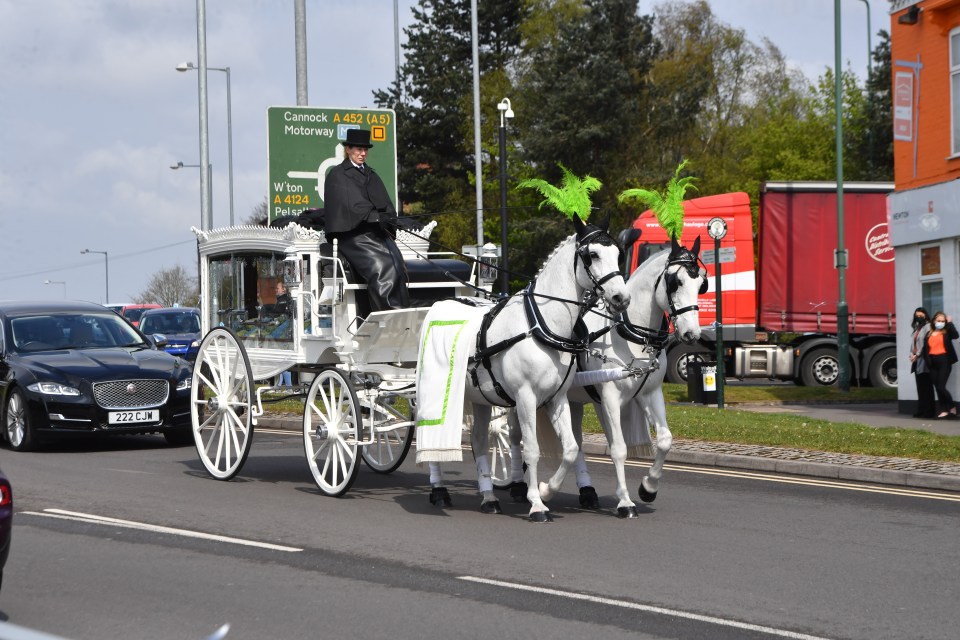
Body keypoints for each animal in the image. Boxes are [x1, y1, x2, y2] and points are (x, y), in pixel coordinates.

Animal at [420, 218, 632, 524]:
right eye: (592, 255)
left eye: (618, 254)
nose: (621, 297)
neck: (540, 324)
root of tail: (438, 305)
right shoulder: (525, 397)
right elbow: (531, 449)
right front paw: (536, 504)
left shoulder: (557, 398)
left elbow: (570, 449)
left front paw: (546, 490)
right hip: (432, 393)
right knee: (431, 435)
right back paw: (438, 490)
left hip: (480, 398)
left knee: (479, 441)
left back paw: (489, 497)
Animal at [564, 234, 704, 516]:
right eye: (675, 282)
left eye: (701, 284)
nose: (692, 334)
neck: (629, 335)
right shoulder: (609, 398)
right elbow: (618, 448)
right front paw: (625, 502)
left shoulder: (650, 392)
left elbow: (665, 440)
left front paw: (648, 487)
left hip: (574, 400)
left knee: (577, 442)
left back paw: (587, 491)